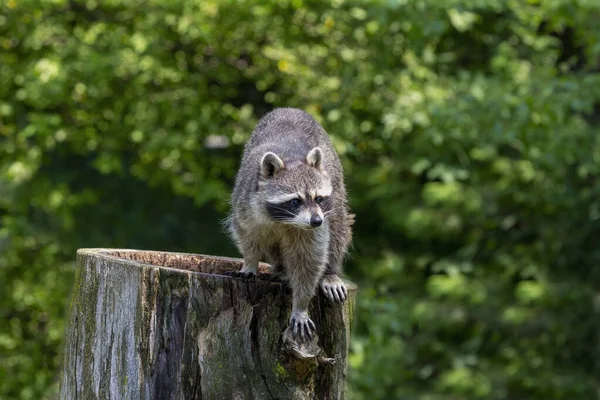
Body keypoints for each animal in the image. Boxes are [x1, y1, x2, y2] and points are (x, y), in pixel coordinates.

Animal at [226, 108, 352, 342]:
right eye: (295, 201)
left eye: (318, 198)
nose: (316, 221)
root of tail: (290, 109)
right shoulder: (246, 204)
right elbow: (248, 235)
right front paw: (250, 262)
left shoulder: (316, 224)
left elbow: (309, 259)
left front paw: (300, 305)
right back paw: (281, 269)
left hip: (336, 182)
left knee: (338, 227)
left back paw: (330, 271)